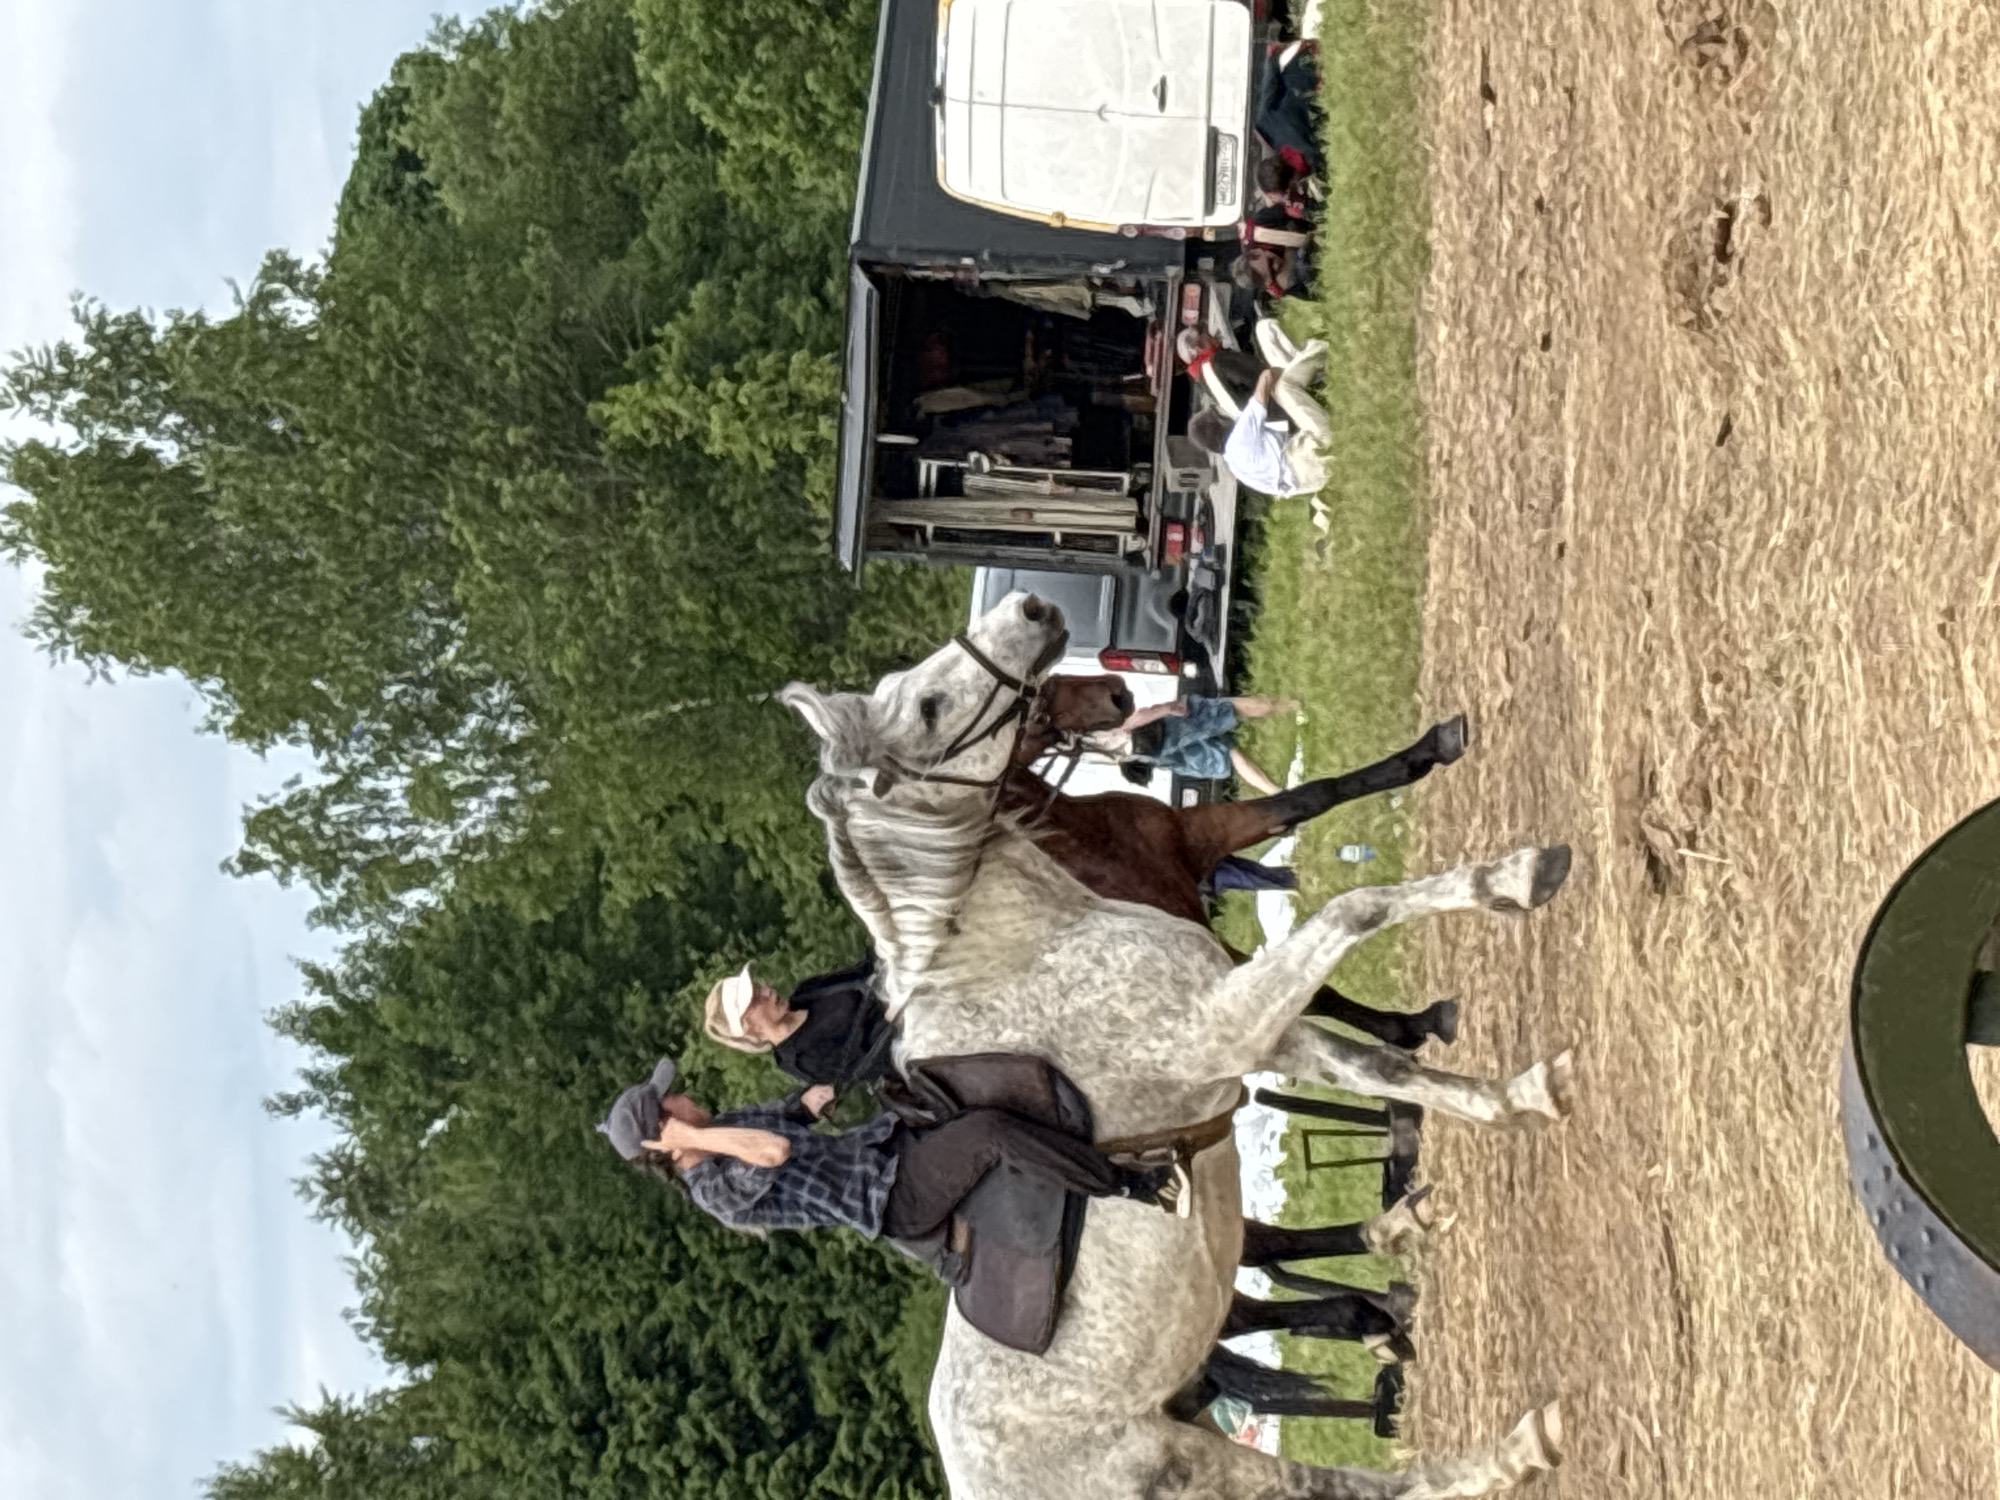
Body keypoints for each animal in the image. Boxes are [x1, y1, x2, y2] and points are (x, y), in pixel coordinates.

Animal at [780, 593, 1573, 1500]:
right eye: (929, 708)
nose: (1033, 605)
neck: (1024, 942)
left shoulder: (1251, 1031)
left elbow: (1379, 1063)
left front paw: (1516, 1094)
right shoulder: (1225, 1023)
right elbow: (1356, 909)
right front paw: (1515, 877)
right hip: (1190, 1464)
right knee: (1355, 1485)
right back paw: (1508, 1442)